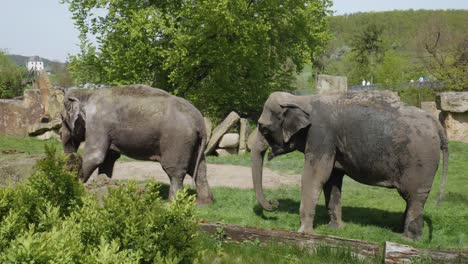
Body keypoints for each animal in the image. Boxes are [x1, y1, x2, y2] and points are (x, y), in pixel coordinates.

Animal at [59, 84, 214, 204]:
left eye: (62, 118)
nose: (60, 133)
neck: (87, 93)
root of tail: (200, 121)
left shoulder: (98, 123)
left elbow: (95, 156)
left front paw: (75, 187)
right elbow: (109, 159)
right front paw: (102, 183)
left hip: (177, 139)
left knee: (175, 171)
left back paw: (172, 203)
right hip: (193, 143)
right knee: (200, 169)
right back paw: (204, 203)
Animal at [250, 90, 448, 239]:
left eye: (263, 128)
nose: (274, 203)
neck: (301, 99)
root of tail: (437, 125)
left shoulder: (320, 135)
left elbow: (316, 175)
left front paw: (304, 233)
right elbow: (332, 180)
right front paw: (334, 229)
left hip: (421, 162)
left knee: (415, 196)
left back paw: (408, 239)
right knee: (410, 197)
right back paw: (399, 232)